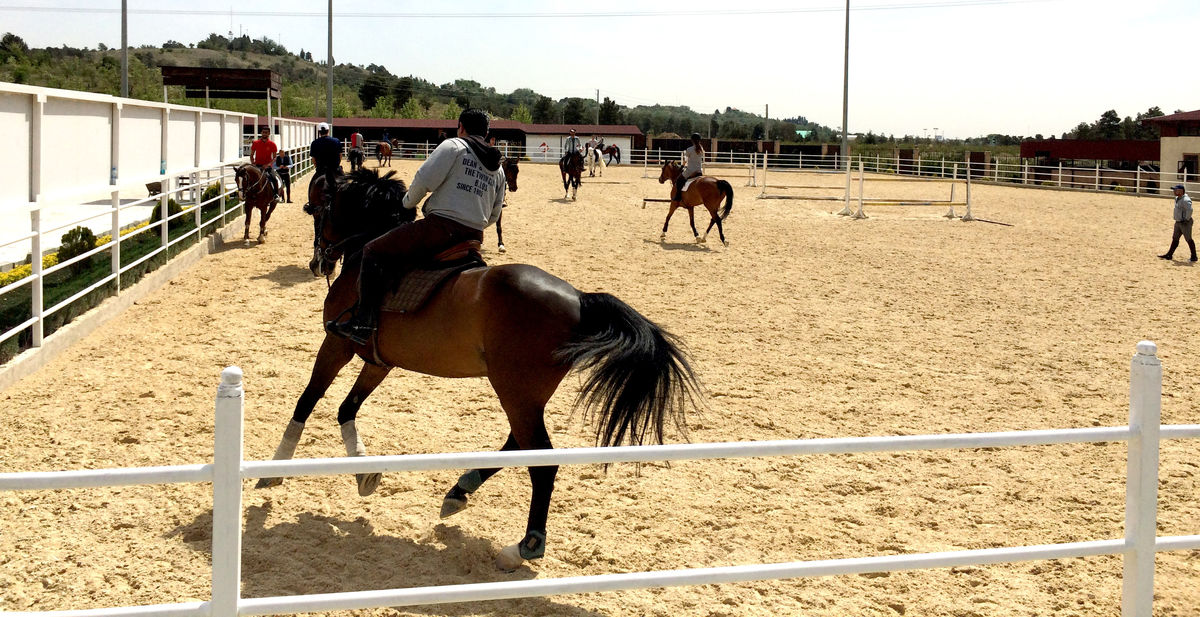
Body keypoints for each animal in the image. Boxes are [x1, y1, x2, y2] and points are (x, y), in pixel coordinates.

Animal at [258, 165, 700, 568]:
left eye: (323, 208)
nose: (318, 263)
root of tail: (579, 298)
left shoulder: (337, 343)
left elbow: (308, 401)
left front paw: (274, 469)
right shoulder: (379, 361)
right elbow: (345, 408)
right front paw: (364, 475)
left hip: (514, 390)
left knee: (542, 461)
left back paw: (524, 546)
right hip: (523, 394)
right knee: (518, 443)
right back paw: (460, 489)